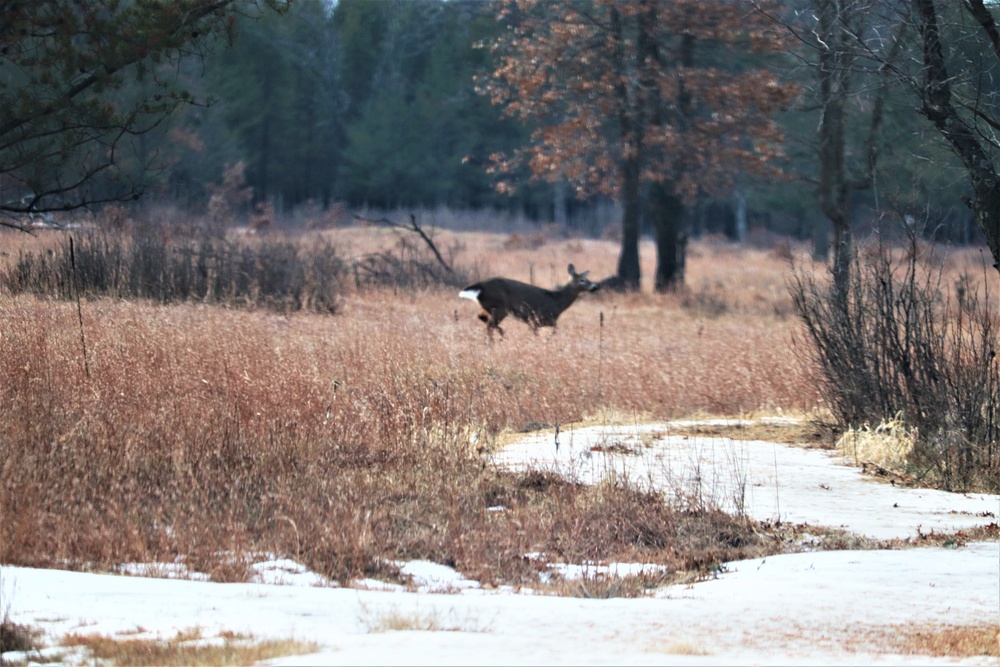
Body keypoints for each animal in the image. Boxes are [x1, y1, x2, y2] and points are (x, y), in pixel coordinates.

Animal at [458, 264, 596, 340]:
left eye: (586, 279)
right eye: (582, 280)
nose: (595, 285)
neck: (557, 301)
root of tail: (480, 286)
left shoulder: (537, 321)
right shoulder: (537, 318)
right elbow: (552, 330)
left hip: (488, 306)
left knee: (483, 319)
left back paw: (500, 336)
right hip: (499, 307)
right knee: (489, 326)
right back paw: (496, 340)